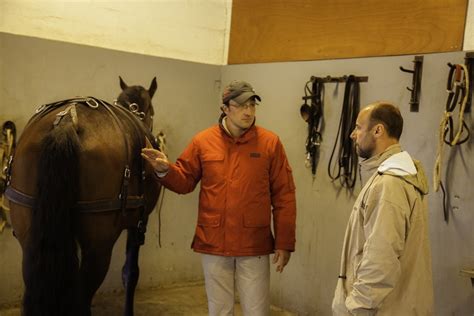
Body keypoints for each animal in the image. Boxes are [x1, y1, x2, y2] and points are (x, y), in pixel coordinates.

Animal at [3, 77, 163, 316]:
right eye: (151, 110)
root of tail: (68, 120)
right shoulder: (138, 224)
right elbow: (130, 274)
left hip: (29, 239)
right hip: (98, 248)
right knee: (83, 296)